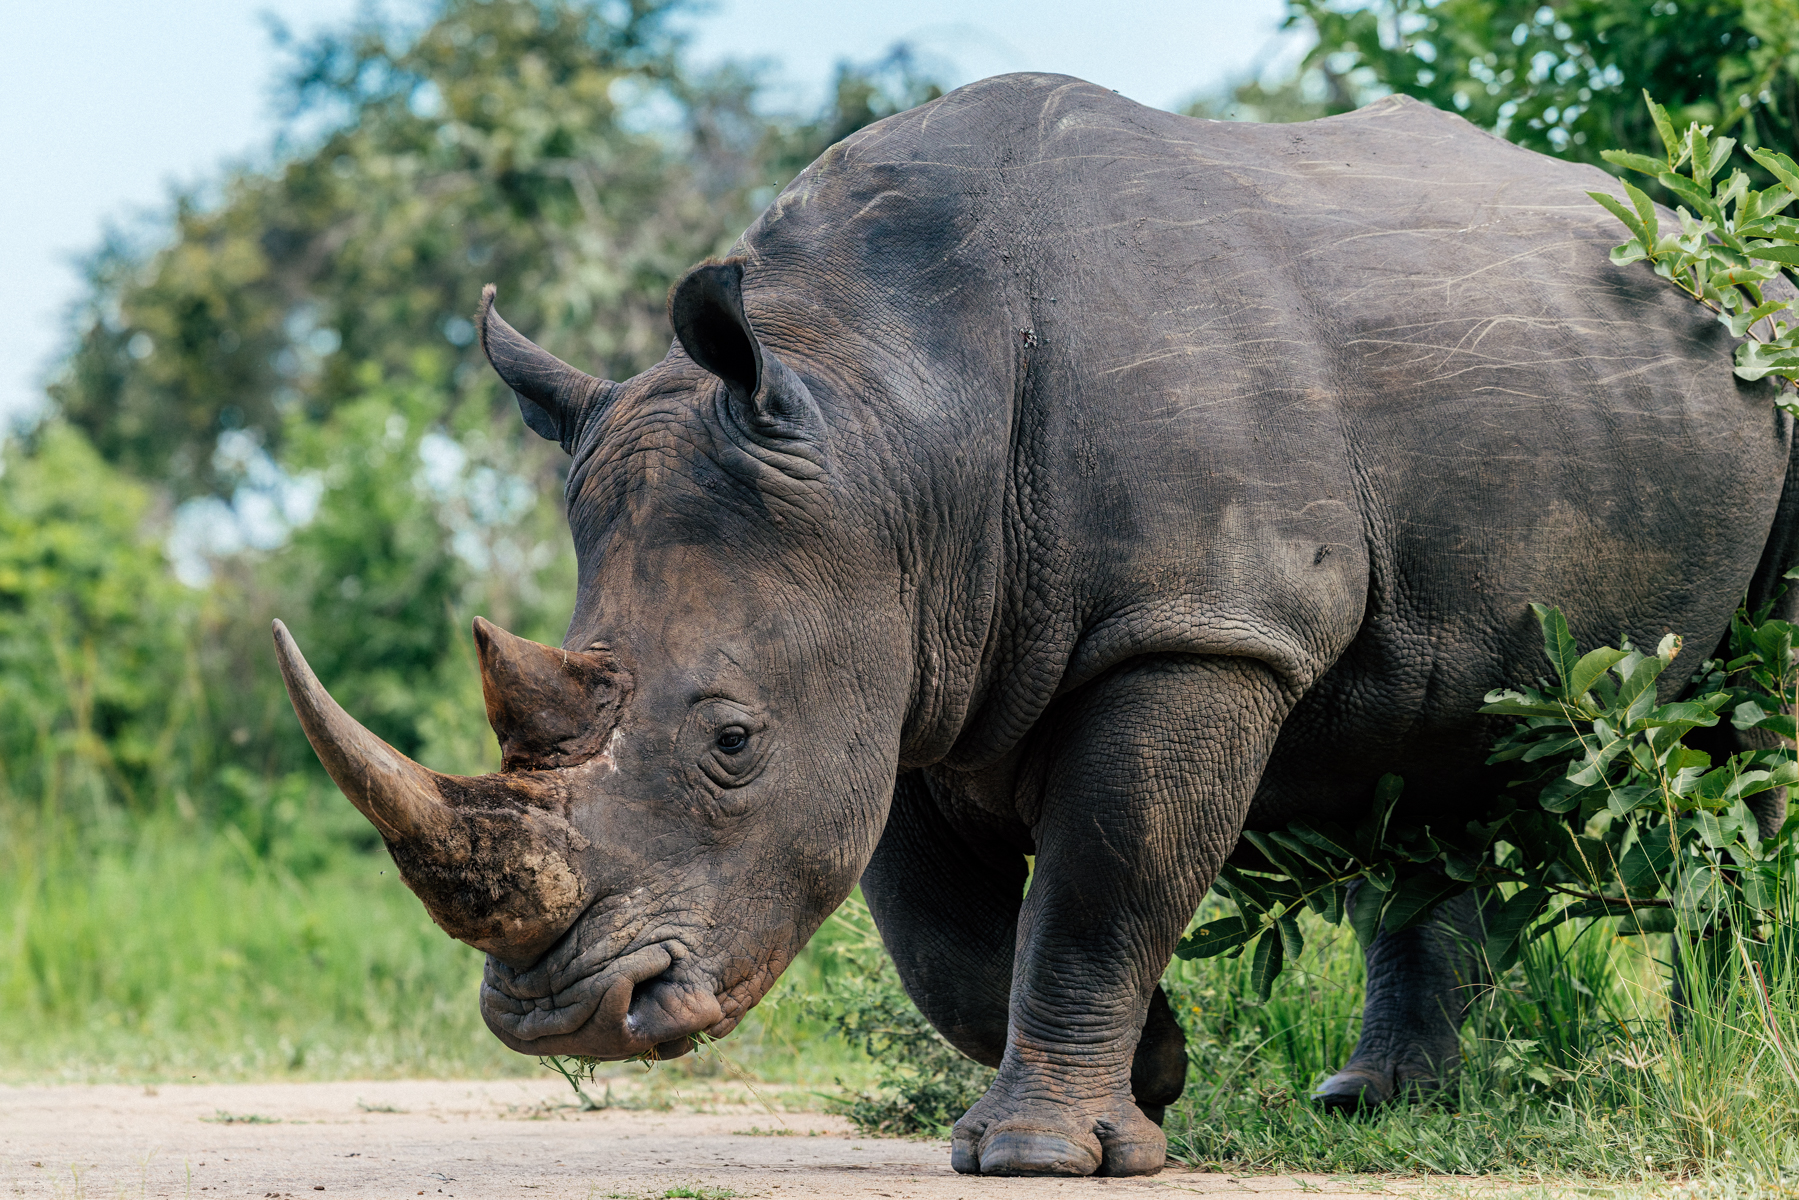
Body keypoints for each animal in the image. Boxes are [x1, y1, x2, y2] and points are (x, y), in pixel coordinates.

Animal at [273, 73, 1799, 1177]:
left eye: (730, 740)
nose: (564, 1016)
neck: (886, 420)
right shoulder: (894, 664)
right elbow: (944, 936)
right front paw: (1159, 1070)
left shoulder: (1197, 624)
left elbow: (1099, 882)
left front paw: (1042, 1152)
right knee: (1443, 744)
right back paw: (1373, 1109)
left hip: (1762, 365)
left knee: (1740, 739)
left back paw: (1737, 1030)